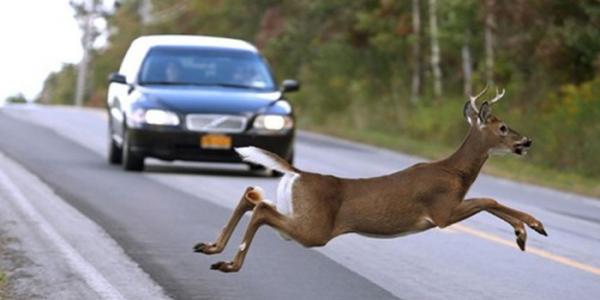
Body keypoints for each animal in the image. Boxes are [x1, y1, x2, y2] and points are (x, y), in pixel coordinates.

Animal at [193, 86, 548, 272]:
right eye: (502, 127)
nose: (528, 141)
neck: (455, 173)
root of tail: (299, 173)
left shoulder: (447, 209)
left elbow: (490, 200)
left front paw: (527, 230)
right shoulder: (442, 211)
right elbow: (489, 199)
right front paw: (529, 228)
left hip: (300, 214)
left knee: (253, 195)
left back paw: (211, 248)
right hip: (315, 229)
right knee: (262, 209)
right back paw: (229, 264)